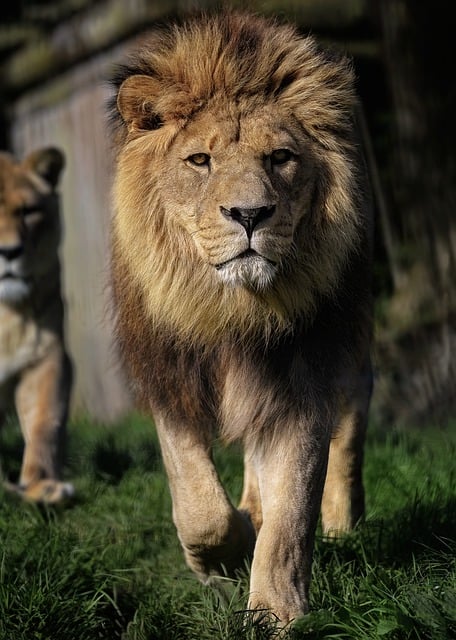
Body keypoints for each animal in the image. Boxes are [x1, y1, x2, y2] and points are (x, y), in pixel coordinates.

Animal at [108, 11, 372, 624]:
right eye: (199, 161)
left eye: (280, 158)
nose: (250, 215)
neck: (231, 309)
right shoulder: (171, 381)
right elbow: (199, 505)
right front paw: (223, 560)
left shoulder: (303, 382)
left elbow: (292, 514)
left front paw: (275, 614)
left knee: (349, 435)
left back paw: (342, 524)